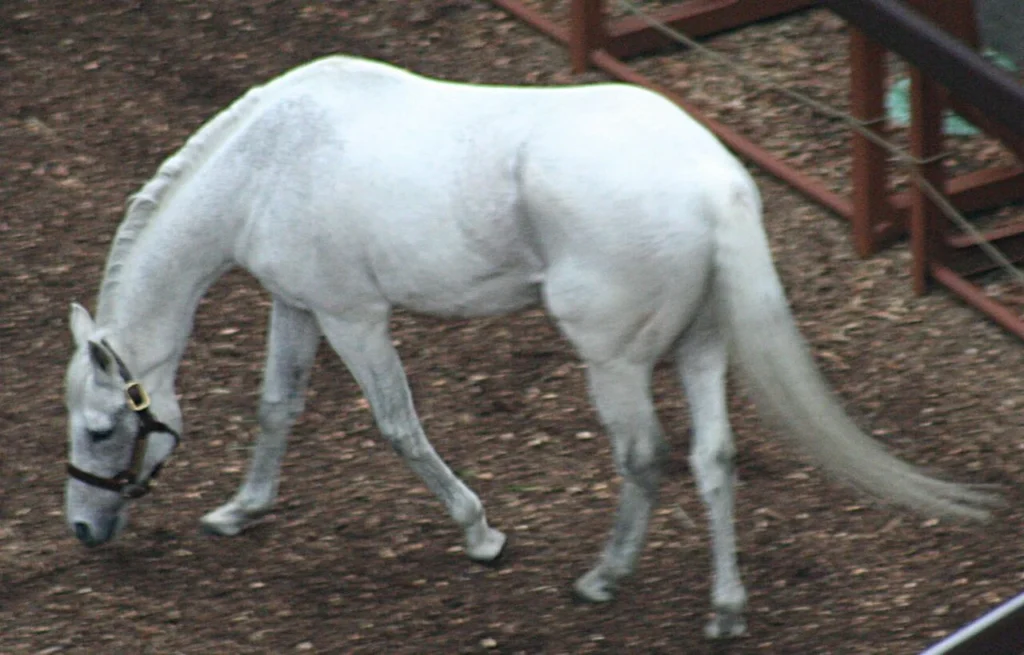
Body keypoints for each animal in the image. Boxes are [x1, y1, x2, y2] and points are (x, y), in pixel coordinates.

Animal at [63, 55, 996, 638]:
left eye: (101, 427)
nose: (82, 529)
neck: (269, 162)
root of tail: (714, 181)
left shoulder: (352, 315)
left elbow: (397, 425)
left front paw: (482, 533)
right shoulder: (298, 303)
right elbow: (277, 406)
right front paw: (242, 508)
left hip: (614, 363)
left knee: (645, 457)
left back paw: (603, 577)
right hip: (699, 349)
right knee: (713, 458)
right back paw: (725, 609)